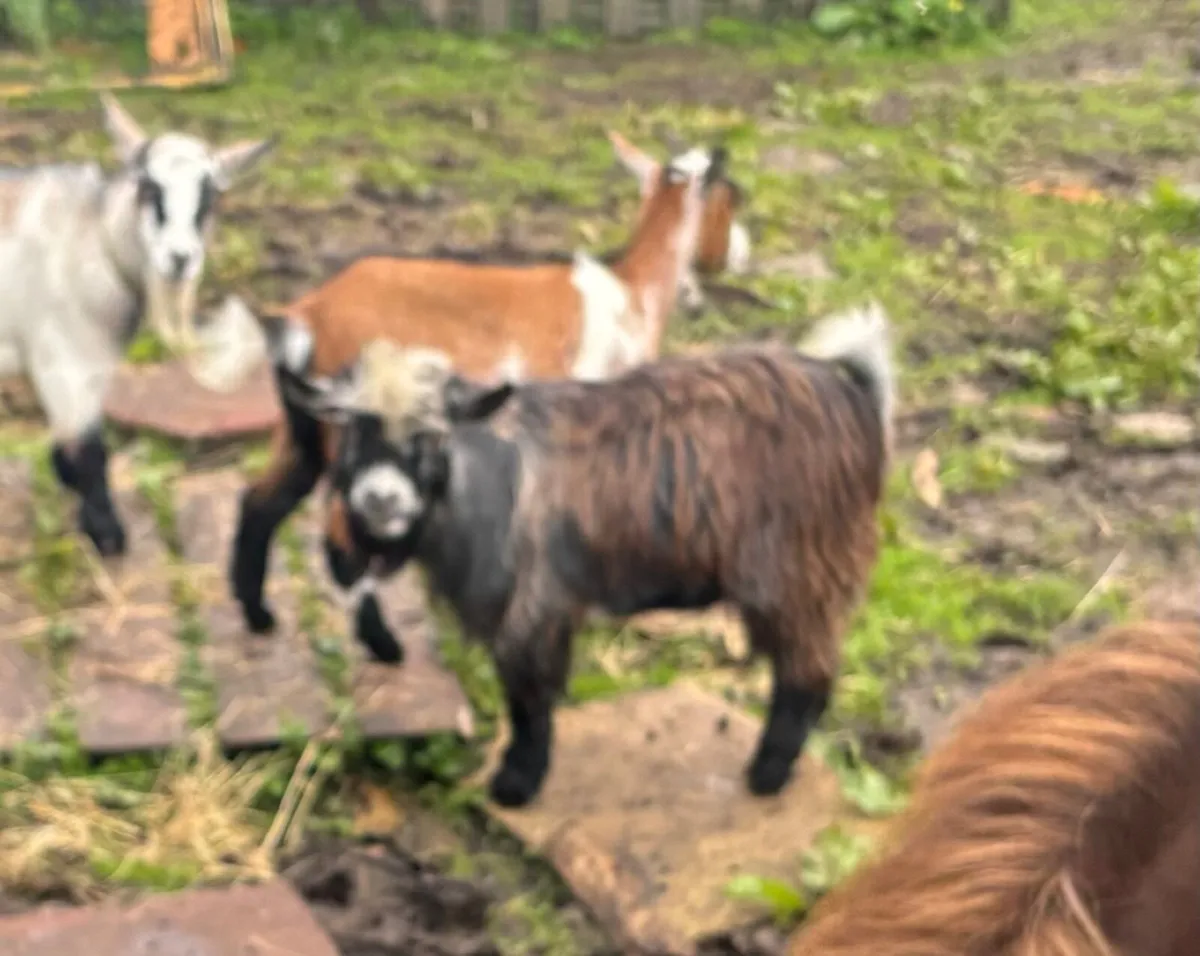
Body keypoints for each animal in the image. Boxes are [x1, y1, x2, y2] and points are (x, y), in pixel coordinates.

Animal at [0, 94, 274, 555]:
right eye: (148, 188)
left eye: (211, 198)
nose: (180, 259)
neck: (93, 241)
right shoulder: (63, 358)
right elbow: (90, 448)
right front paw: (107, 533)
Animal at [230, 134, 752, 650]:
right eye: (732, 197)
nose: (739, 255)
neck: (632, 293)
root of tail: (309, 311)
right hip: (358, 426)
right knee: (341, 537)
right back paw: (382, 643)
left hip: (306, 418)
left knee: (262, 501)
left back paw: (258, 615)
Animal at [272, 302, 896, 808]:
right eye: (354, 429)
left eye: (431, 436)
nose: (380, 498)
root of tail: (854, 395)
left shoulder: (533, 606)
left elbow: (528, 700)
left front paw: (516, 783)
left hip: (798, 569)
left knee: (807, 672)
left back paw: (766, 775)